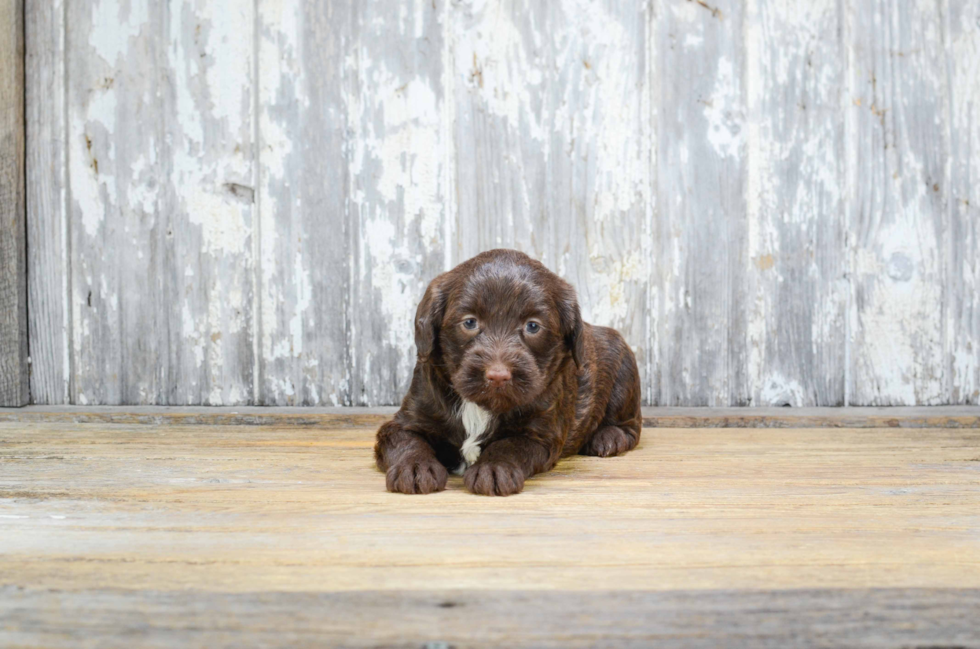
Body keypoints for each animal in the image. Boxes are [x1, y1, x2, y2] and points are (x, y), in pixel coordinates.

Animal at [376, 248, 644, 496]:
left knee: (631, 423)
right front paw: (415, 467)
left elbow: (509, 445)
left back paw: (609, 437)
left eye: (533, 326)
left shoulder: (539, 433)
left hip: (624, 367)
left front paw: (493, 469)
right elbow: (405, 440)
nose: (498, 376)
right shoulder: (408, 417)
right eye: (470, 322)